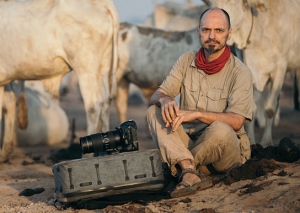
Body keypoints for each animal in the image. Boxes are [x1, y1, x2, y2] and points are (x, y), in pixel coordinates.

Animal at [0, 0, 119, 161]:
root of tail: (103, 4)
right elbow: (9, 105)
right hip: (103, 67)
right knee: (105, 104)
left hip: (85, 68)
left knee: (94, 106)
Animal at [207, 0, 300, 146]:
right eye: (211, 2)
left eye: (231, 1)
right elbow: (250, 109)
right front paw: (251, 141)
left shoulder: (280, 69)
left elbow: (270, 109)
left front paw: (267, 141)